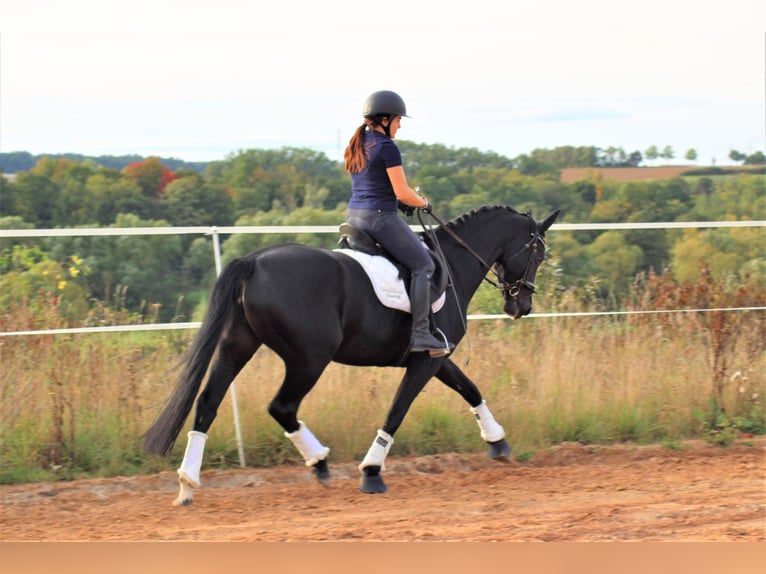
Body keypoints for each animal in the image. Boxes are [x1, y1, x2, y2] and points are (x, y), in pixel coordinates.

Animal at [144, 206, 560, 504]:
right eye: (538, 252)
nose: (520, 306)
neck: (453, 264)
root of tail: (254, 262)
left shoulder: (437, 357)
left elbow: (470, 389)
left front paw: (498, 442)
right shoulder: (426, 361)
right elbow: (397, 411)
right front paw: (371, 471)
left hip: (238, 347)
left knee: (207, 403)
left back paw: (187, 483)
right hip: (309, 359)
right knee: (281, 407)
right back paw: (319, 461)